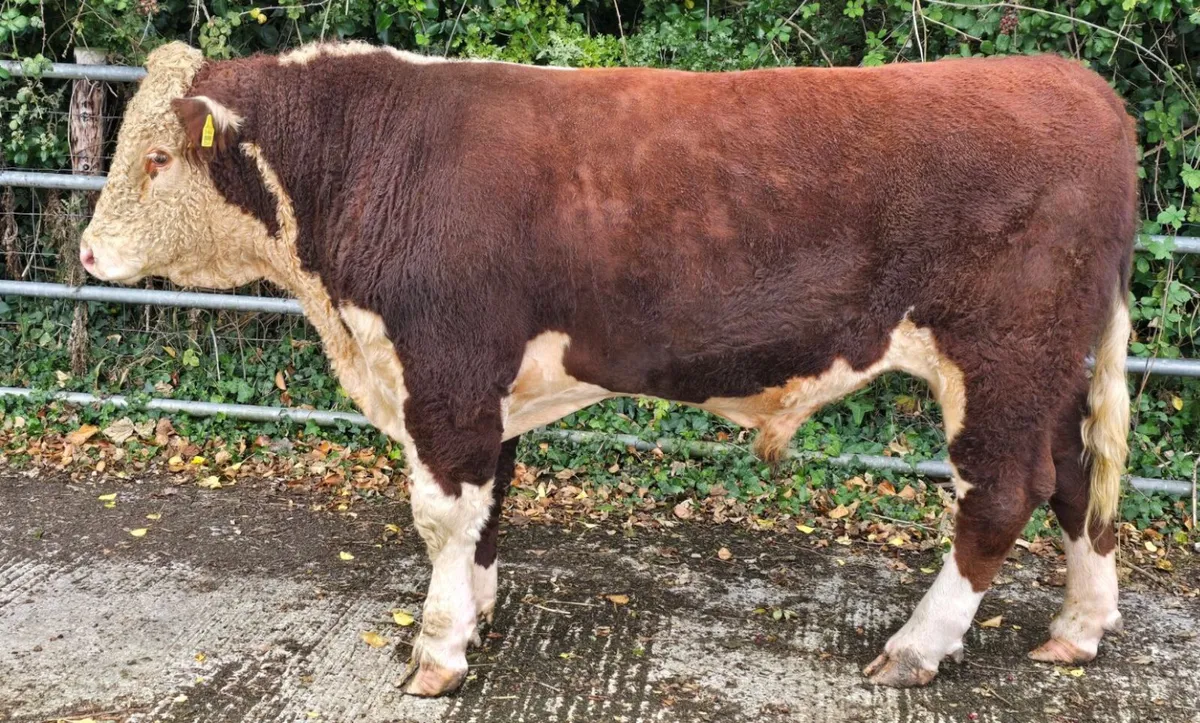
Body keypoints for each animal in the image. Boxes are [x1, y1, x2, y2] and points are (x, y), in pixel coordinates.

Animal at [79, 41, 1137, 696]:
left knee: (1001, 494)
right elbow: (490, 500)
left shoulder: (444, 370)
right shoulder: (485, 384)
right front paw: (479, 610)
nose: (87, 253)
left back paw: (916, 648)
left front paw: (438, 649)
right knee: (1077, 478)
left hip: (1001, 355)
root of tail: (1075, 82)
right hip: (1048, 366)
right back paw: (1077, 629)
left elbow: (442, 512)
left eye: (159, 158)